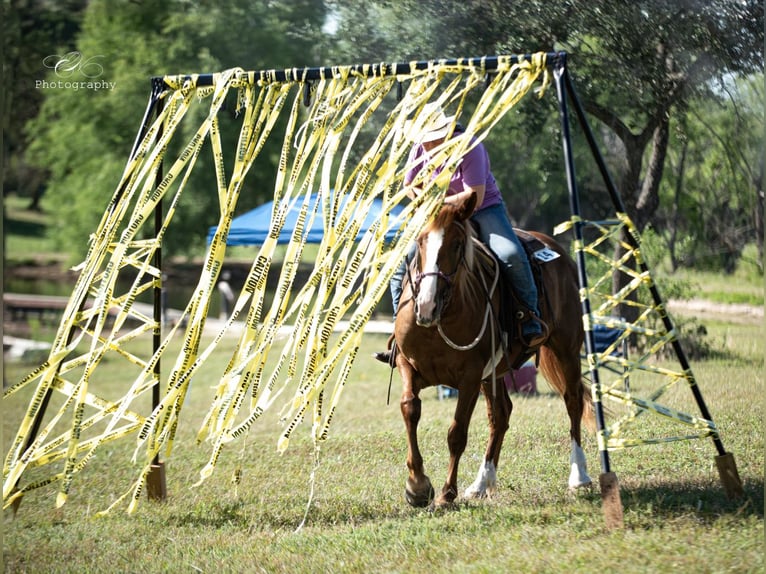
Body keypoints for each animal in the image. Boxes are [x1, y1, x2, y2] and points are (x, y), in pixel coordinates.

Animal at [392, 196, 596, 510]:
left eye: (457, 244)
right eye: (421, 240)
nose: (426, 305)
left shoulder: (470, 377)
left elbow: (457, 433)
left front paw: (446, 493)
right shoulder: (408, 364)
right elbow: (410, 409)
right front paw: (417, 486)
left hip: (567, 349)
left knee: (573, 401)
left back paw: (579, 476)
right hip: (494, 374)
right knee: (501, 415)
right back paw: (480, 484)